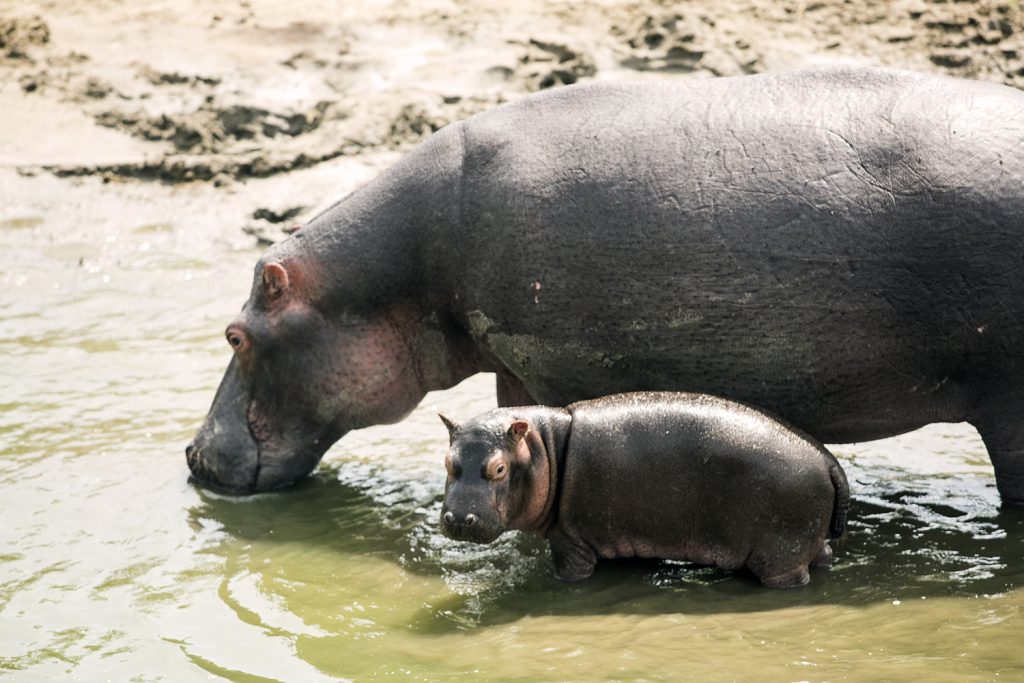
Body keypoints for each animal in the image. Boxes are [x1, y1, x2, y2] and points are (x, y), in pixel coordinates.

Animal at [440, 393, 847, 589]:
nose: (458, 518)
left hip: (780, 557)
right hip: (802, 543)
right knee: (823, 554)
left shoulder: (570, 541)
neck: (546, 447)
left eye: (499, 468)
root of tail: (828, 460)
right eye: (446, 461)